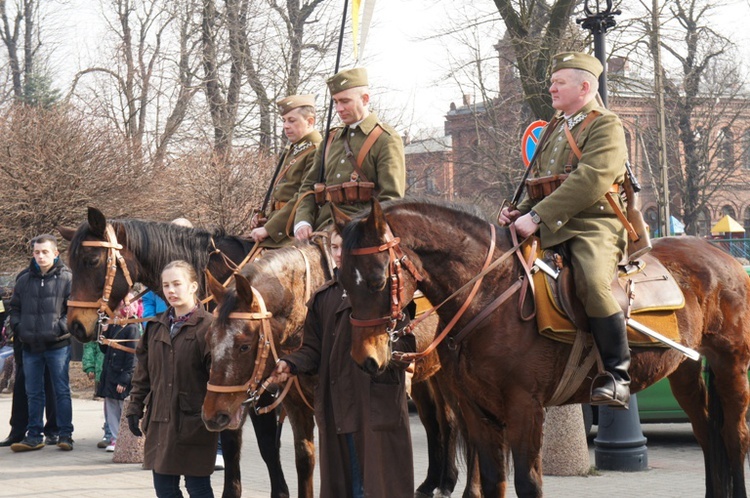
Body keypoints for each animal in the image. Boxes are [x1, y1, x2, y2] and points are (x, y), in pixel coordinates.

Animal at [58, 206, 282, 498]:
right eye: (71, 264)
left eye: (93, 260)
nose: (75, 324)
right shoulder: (225, 391)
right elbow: (231, 442)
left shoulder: (258, 390)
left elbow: (268, 447)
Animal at [338, 198, 750, 498]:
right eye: (342, 280)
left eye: (376, 280)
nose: (365, 358)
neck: (488, 293)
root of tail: (726, 258)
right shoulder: (478, 410)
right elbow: (494, 480)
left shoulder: (525, 408)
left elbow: (527, 483)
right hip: (684, 371)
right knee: (707, 435)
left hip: (731, 366)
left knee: (734, 438)